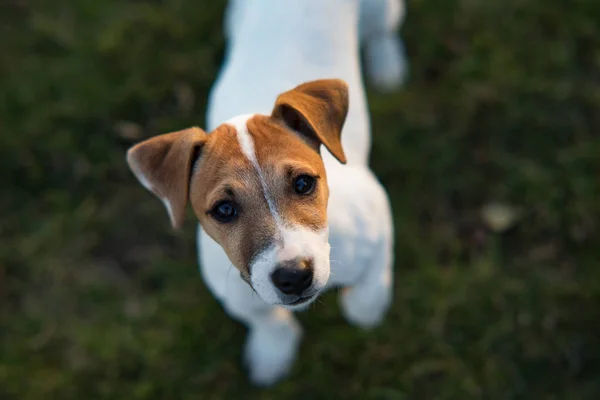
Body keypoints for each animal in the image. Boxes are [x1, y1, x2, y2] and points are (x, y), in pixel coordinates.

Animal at [127, 0, 408, 388]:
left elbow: (371, 288)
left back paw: (387, 65)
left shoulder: (376, 215)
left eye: (303, 184)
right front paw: (272, 353)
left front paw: (367, 312)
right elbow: (265, 320)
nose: (294, 277)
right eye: (224, 209)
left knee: (382, 31)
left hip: (382, 11)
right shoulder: (234, 291)